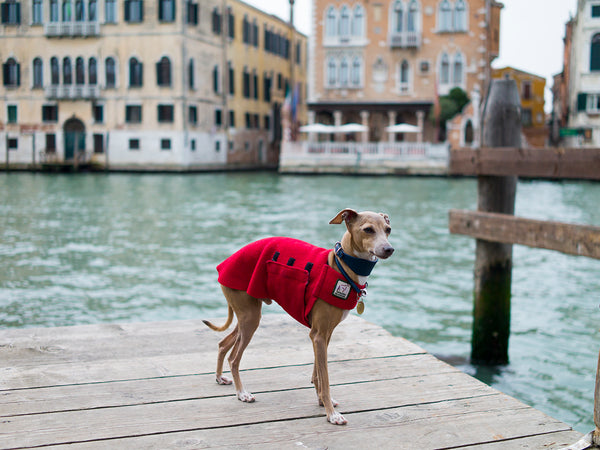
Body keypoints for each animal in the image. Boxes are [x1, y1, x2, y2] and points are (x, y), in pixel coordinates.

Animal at [204, 209, 394, 424]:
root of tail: (224, 264)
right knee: (234, 359)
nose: (389, 249)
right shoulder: (318, 336)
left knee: (223, 344)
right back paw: (242, 393)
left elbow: (317, 373)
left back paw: (220, 377)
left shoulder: (323, 335)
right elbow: (325, 378)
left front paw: (322, 402)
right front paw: (332, 414)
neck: (341, 267)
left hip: (247, 316)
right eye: (368, 229)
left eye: (388, 229)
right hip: (249, 319)